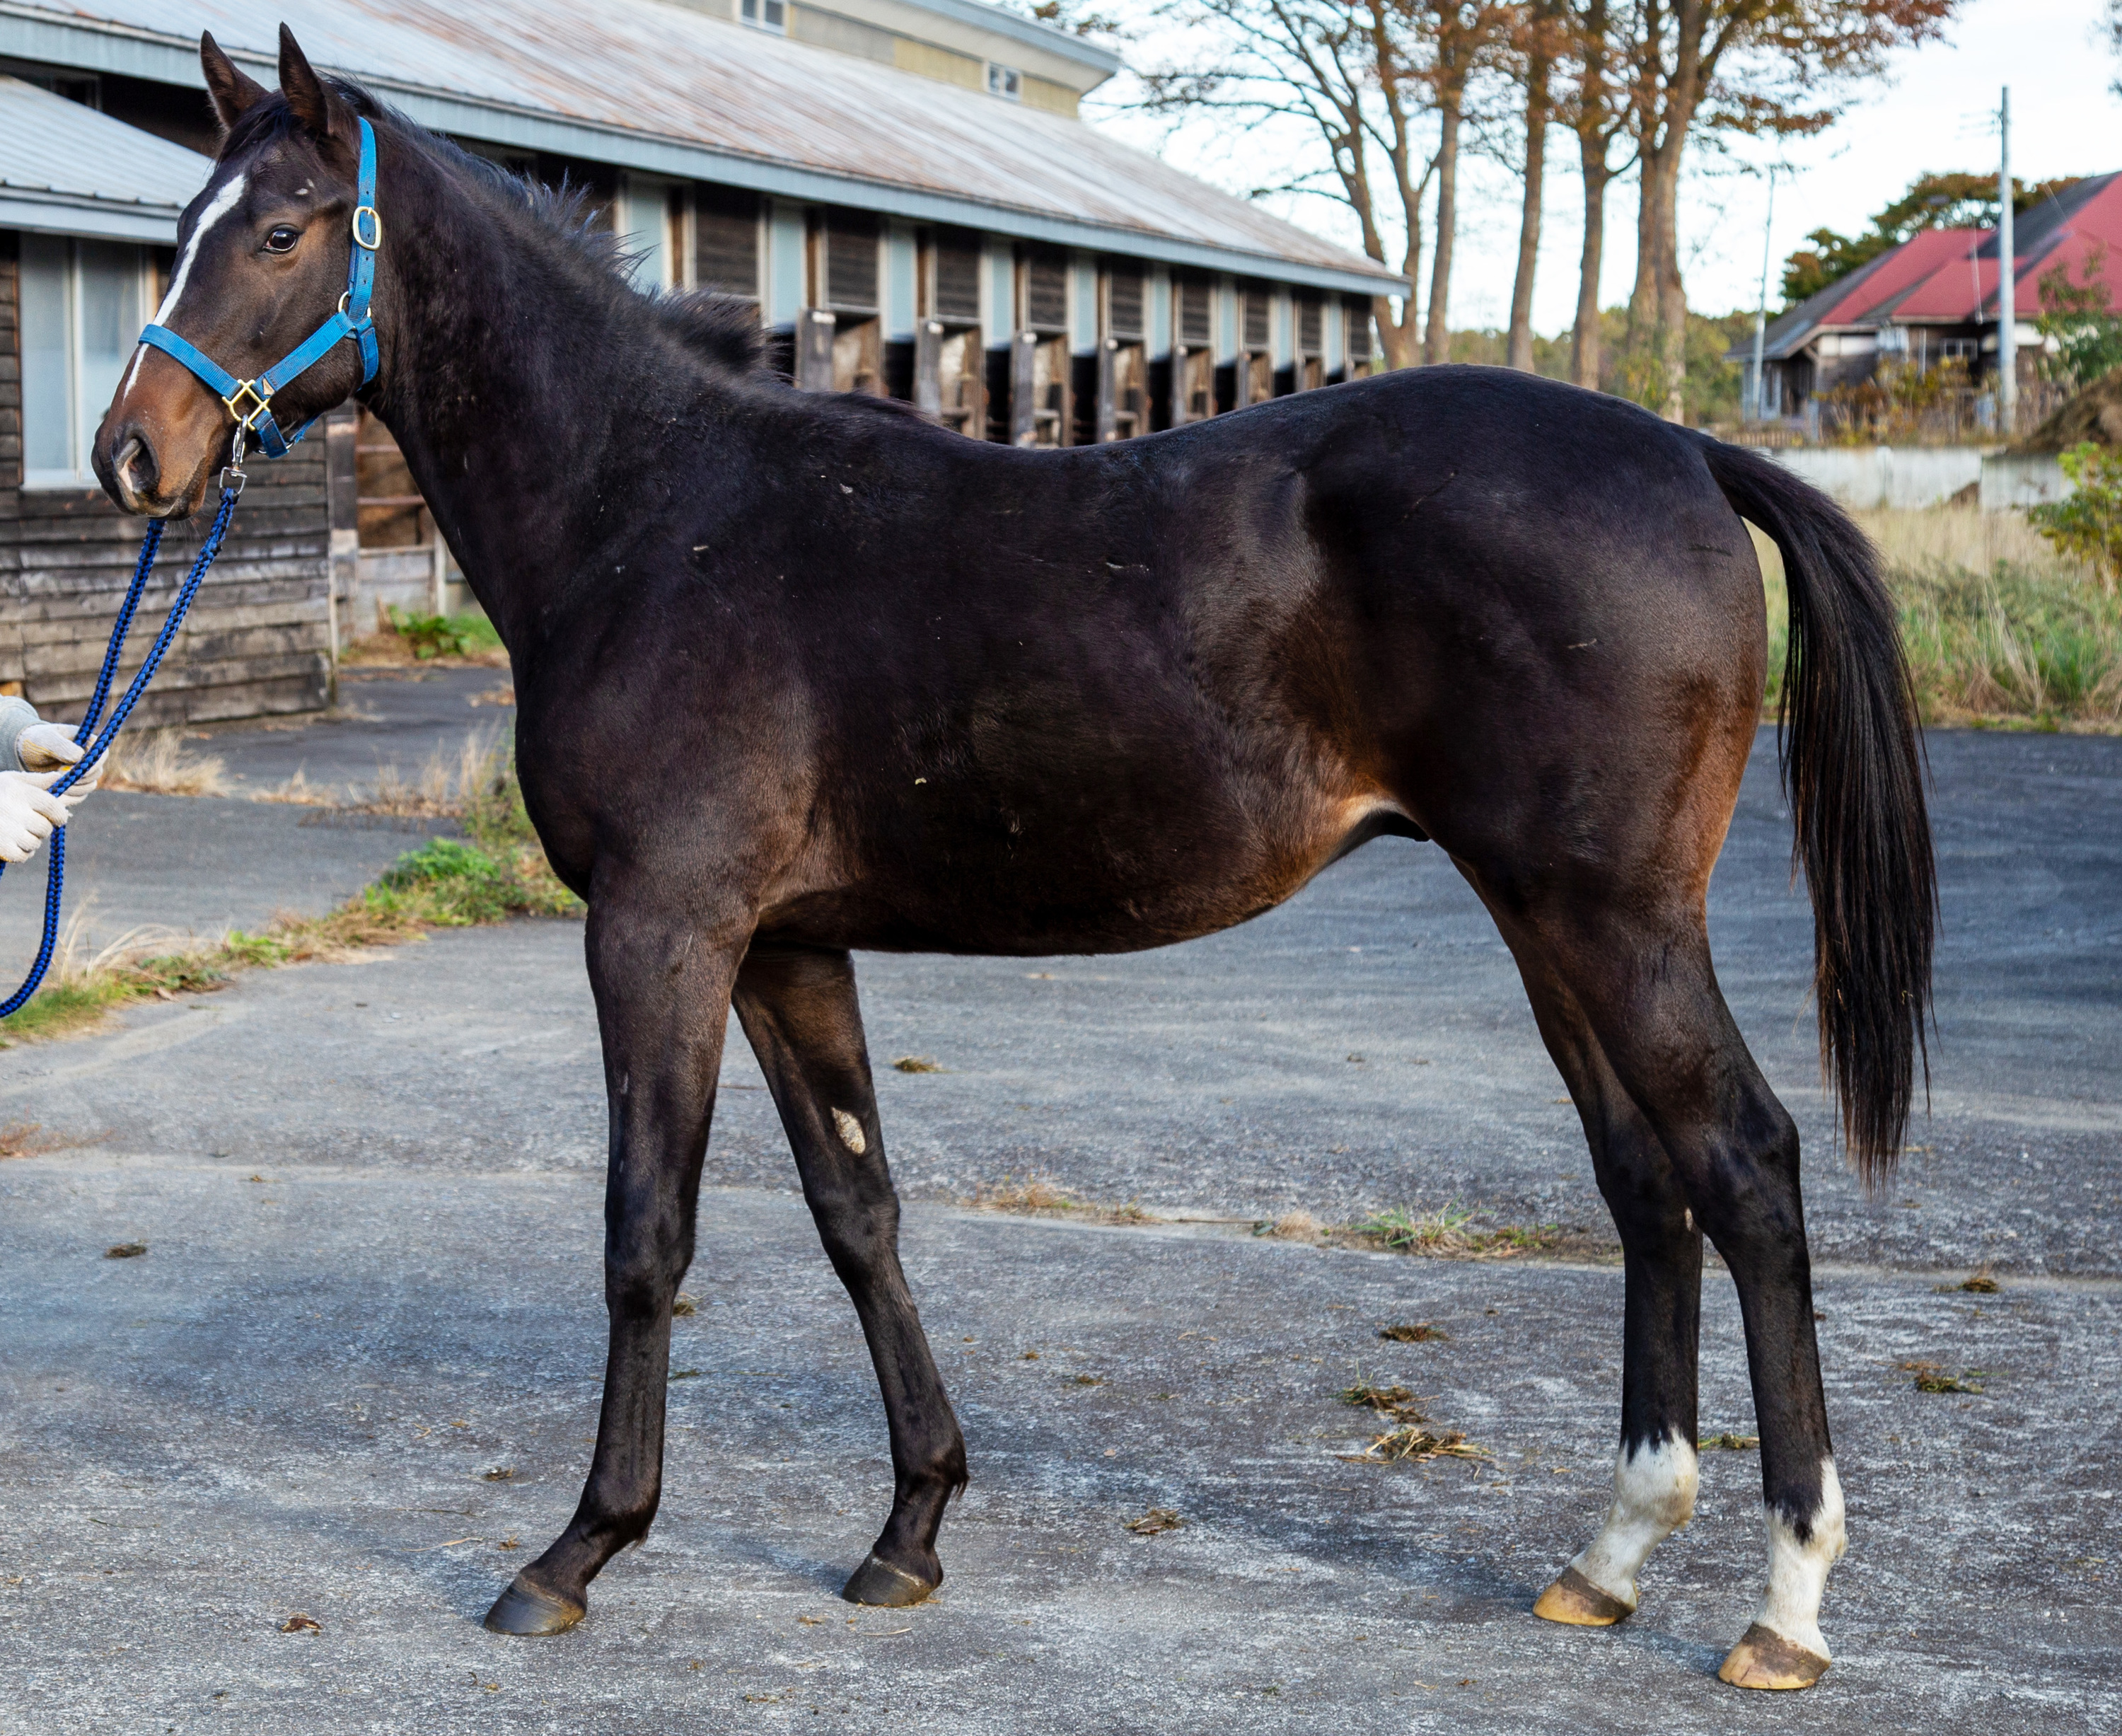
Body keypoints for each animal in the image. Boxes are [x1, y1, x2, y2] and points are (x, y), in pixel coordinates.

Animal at [95, 30, 1944, 1689]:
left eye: (280, 232)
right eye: (183, 219)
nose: (133, 455)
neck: (651, 511)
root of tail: (1686, 451)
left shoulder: (660, 930)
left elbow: (646, 1230)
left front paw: (577, 1549)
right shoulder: (784, 945)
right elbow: (859, 1211)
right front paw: (909, 1527)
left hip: (1612, 918)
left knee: (1745, 1168)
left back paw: (1783, 1607)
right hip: (1546, 918)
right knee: (1646, 1184)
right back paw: (1609, 1557)